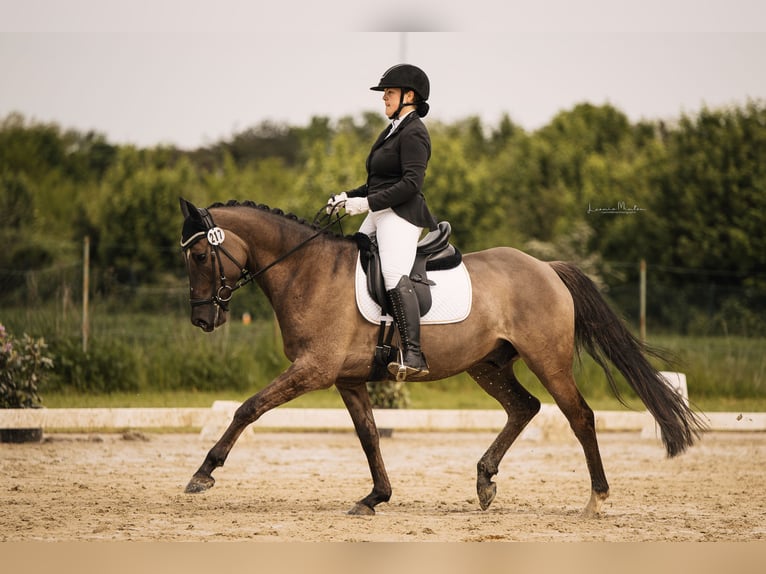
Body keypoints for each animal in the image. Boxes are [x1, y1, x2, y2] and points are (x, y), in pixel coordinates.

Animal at [180, 198, 708, 516]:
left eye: (201, 257)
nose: (203, 320)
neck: (306, 270)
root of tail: (546, 267)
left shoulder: (314, 369)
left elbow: (248, 408)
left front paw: (203, 473)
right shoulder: (346, 378)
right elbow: (369, 437)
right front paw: (375, 497)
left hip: (548, 360)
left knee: (579, 416)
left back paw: (595, 500)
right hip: (487, 365)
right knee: (525, 408)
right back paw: (485, 482)